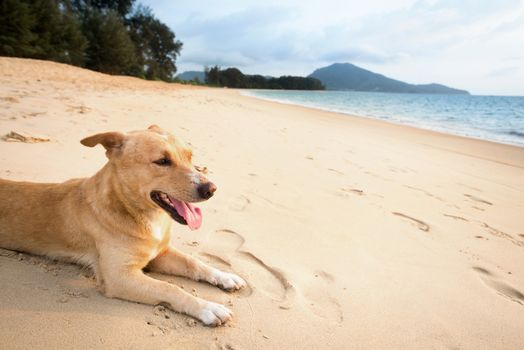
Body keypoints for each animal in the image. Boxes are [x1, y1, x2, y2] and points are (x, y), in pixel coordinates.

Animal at [0, 125, 246, 326]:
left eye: (190, 156)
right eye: (162, 161)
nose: (211, 189)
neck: (139, 213)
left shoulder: (161, 253)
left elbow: (195, 263)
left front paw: (224, 276)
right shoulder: (119, 277)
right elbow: (169, 287)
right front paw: (208, 307)